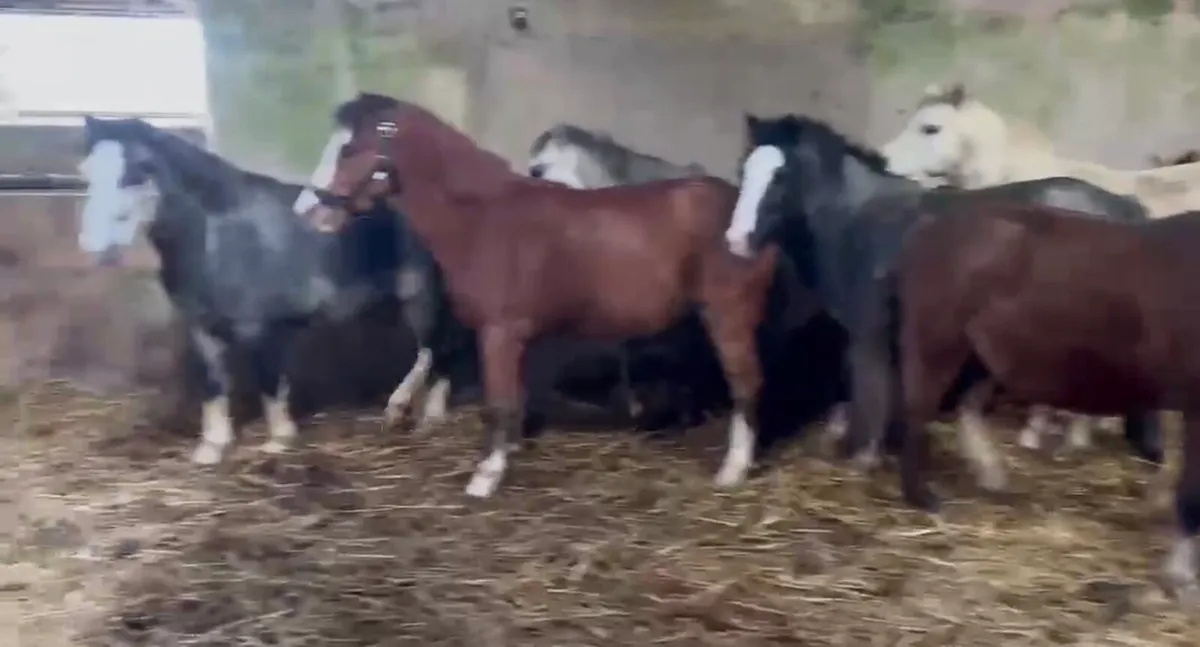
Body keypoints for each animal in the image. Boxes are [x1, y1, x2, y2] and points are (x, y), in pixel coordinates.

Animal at [306, 92, 781, 498]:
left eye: (348, 149)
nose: (310, 211)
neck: (481, 218)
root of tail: (746, 214)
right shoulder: (511, 335)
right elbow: (510, 396)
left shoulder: (499, 331)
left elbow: (499, 401)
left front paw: (486, 477)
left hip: (727, 315)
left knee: (747, 383)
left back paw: (732, 469)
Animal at [722, 112, 1163, 493]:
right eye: (743, 171)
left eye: (781, 176)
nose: (736, 240)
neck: (861, 223)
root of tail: (1124, 206)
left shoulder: (869, 332)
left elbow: (872, 393)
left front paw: (863, 461)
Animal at [891, 203, 1200, 606]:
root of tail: (929, 230)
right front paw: (1180, 576)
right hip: (938, 344)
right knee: (916, 414)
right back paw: (923, 497)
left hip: (984, 357)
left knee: (966, 407)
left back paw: (991, 475)